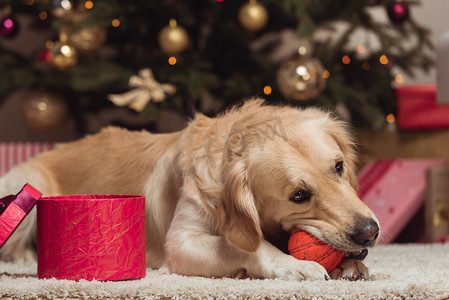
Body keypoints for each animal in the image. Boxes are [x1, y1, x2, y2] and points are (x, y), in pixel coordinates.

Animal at [0, 99, 378, 282]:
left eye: (339, 167)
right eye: (298, 195)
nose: (370, 232)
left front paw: (348, 265)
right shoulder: (181, 243)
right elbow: (247, 246)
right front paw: (294, 265)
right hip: (27, 180)